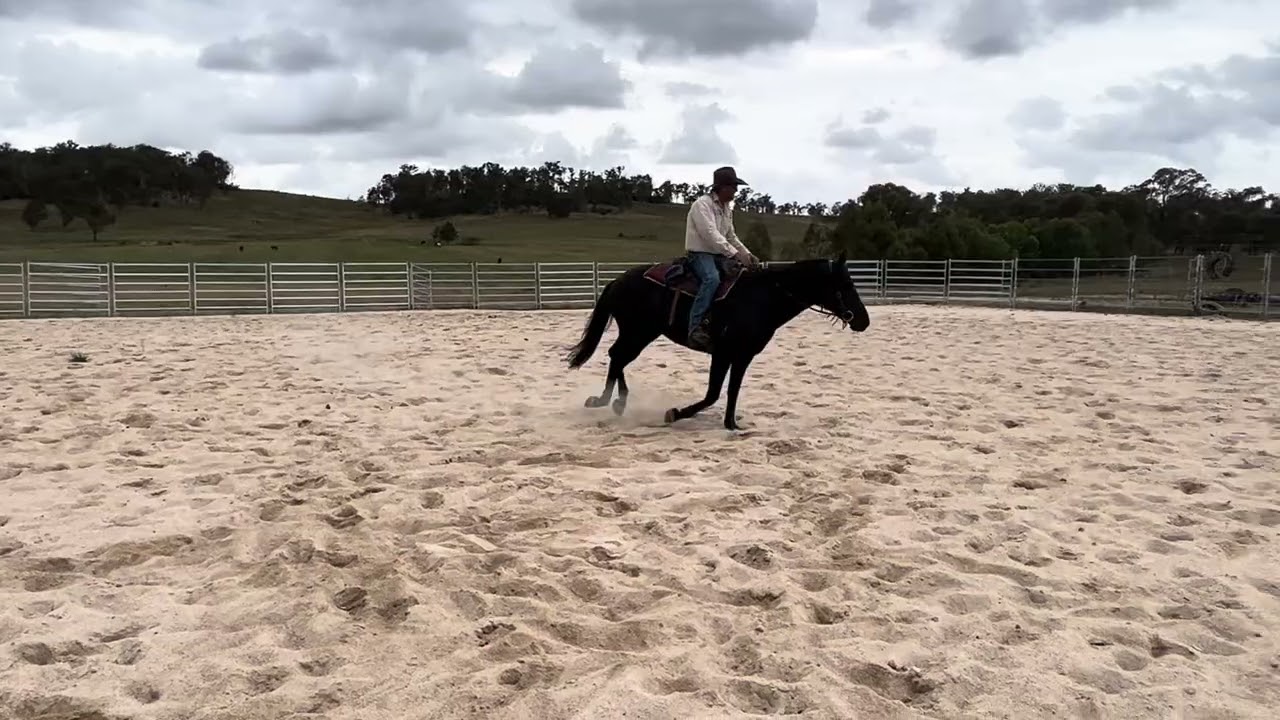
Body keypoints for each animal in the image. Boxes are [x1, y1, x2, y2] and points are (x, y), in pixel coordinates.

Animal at [565, 252, 870, 430]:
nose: (863, 320)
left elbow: (732, 390)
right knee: (617, 356)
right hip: (638, 332)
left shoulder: (743, 355)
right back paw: (609, 401)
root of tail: (618, 280)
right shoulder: (722, 353)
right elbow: (712, 393)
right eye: (846, 285)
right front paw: (675, 413)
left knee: (617, 357)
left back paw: (614, 401)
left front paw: (731, 424)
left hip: (641, 333)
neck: (762, 297)